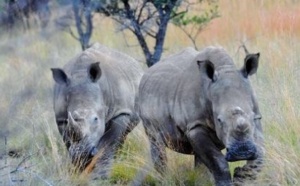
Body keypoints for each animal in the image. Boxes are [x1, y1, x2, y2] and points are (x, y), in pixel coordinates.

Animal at [51, 42, 143, 179]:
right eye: (69, 119)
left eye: (95, 119)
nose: (82, 152)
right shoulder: (61, 118)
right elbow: (68, 141)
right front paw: (79, 169)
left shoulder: (120, 112)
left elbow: (108, 144)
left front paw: (100, 176)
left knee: (122, 135)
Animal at [137, 46, 264, 185]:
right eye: (219, 120)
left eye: (252, 116)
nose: (242, 152)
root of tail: (147, 72)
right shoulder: (195, 125)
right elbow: (218, 162)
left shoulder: (257, 119)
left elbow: (260, 155)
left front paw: (240, 176)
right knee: (156, 143)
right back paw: (164, 180)